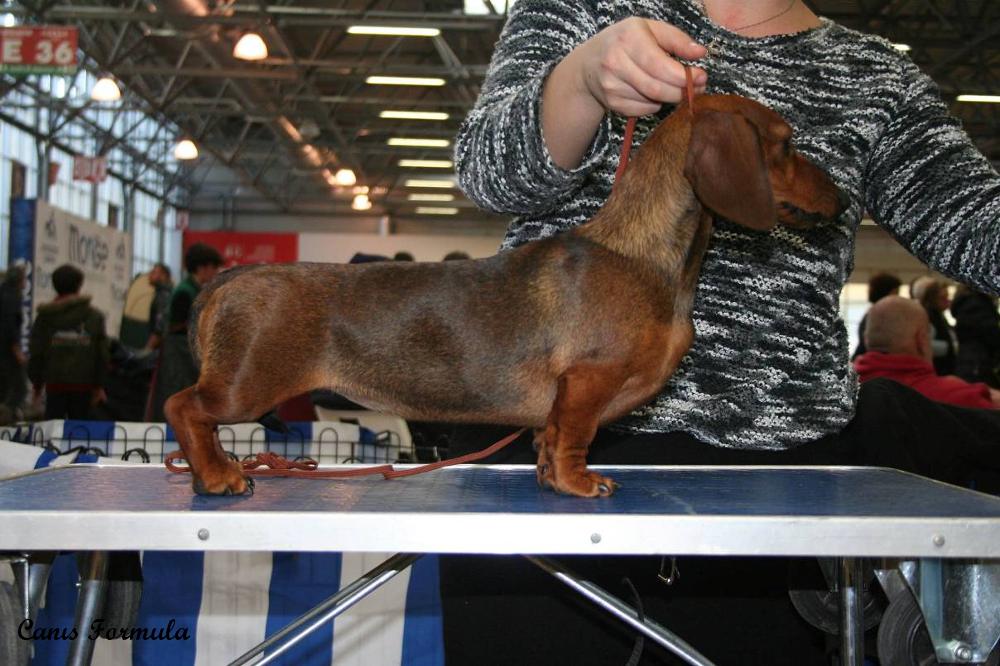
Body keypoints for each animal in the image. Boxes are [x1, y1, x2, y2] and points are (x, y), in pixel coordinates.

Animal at [164, 96, 844, 496]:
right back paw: (219, 477)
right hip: (247, 385)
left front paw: (548, 478)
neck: (641, 252)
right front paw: (577, 484)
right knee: (183, 408)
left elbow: (549, 438)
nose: (842, 200)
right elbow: (574, 437)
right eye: (786, 143)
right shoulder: (588, 381)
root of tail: (233, 277)